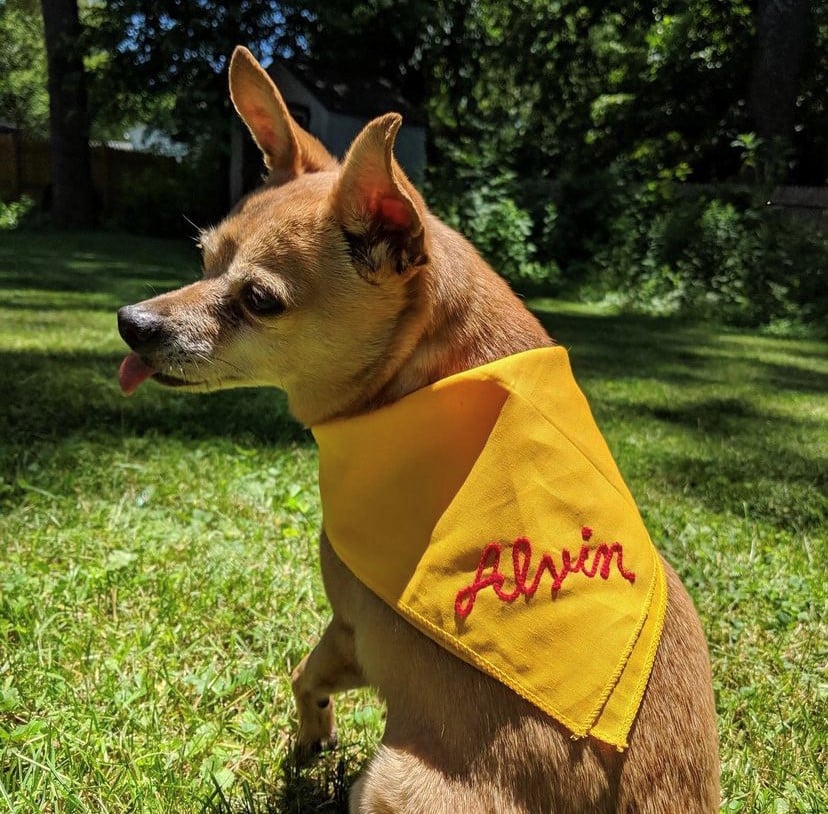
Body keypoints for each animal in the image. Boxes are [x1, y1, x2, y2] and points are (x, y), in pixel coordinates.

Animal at [116, 46, 720, 814]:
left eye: (259, 300)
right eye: (203, 259)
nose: (131, 322)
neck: (432, 379)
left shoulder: (353, 630)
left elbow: (304, 676)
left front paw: (309, 743)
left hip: (389, 782)